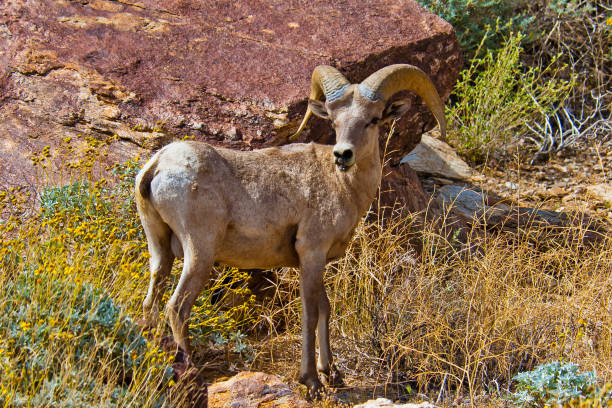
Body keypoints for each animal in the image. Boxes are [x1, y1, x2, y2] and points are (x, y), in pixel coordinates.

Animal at [136, 64, 448, 396]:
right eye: (334, 122)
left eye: (373, 119)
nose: (343, 155)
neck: (343, 186)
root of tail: (157, 166)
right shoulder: (311, 253)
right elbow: (310, 313)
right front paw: (311, 380)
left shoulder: (314, 261)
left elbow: (325, 308)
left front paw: (332, 373)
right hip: (200, 253)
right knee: (177, 308)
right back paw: (189, 372)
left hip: (160, 250)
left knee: (151, 302)